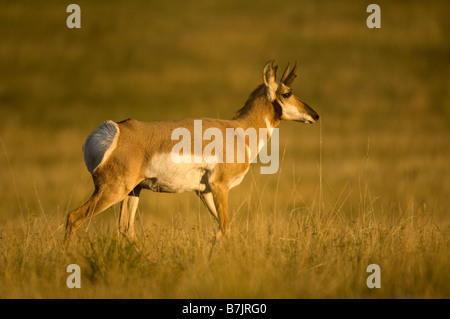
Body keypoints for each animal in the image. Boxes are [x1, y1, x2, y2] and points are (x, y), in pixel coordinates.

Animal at [63, 60, 318, 246]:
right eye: (287, 93)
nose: (315, 115)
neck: (238, 130)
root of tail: (117, 131)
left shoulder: (203, 192)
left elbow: (224, 229)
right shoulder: (220, 187)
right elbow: (225, 227)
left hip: (133, 191)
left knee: (126, 229)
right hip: (112, 191)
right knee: (74, 217)